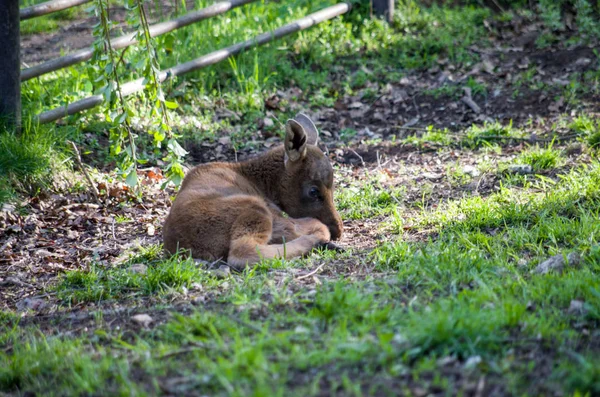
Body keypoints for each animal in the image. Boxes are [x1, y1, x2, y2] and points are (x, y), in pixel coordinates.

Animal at [163, 113, 342, 268]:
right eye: (313, 191)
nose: (338, 229)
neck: (263, 183)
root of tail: (185, 248)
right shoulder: (276, 215)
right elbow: (315, 225)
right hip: (254, 209)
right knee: (242, 253)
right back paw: (318, 242)